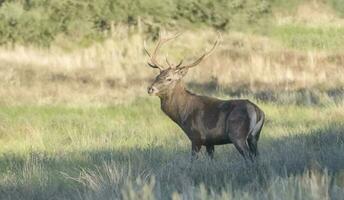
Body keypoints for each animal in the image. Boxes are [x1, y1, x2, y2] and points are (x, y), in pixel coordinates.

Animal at [144, 32, 264, 161]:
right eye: (157, 76)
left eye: (169, 78)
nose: (150, 89)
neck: (182, 114)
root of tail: (258, 112)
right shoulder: (210, 142)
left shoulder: (196, 137)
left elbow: (192, 160)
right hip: (254, 137)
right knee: (257, 157)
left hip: (238, 134)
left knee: (249, 157)